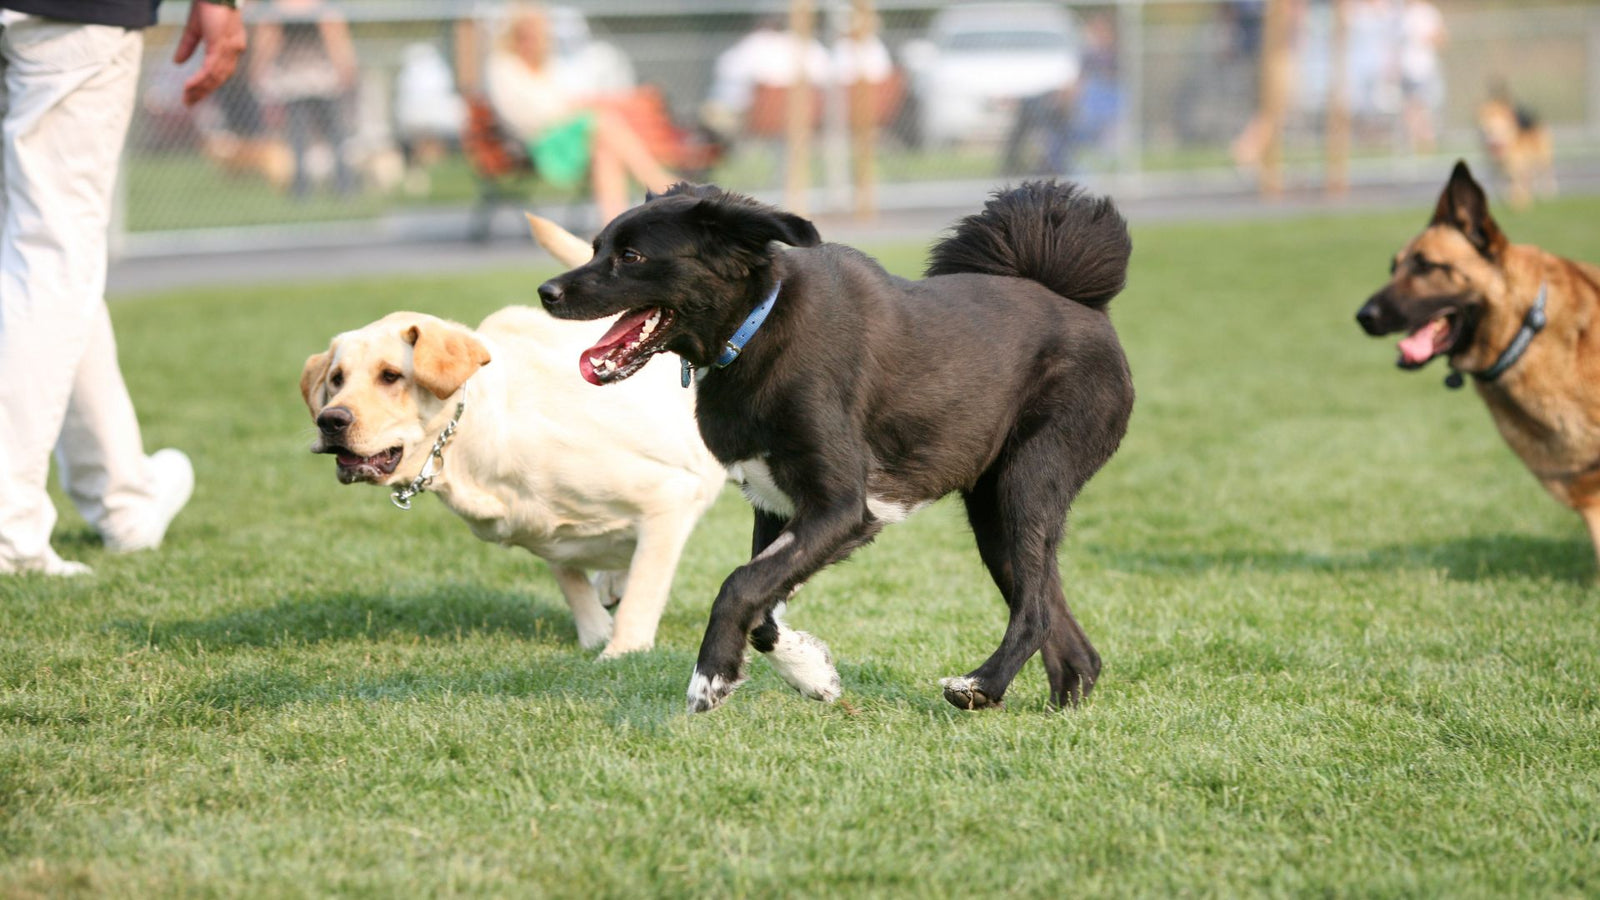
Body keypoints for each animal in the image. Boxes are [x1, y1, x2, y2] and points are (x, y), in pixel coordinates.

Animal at [540, 182, 1139, 711]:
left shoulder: (843, 507)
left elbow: (740, 585)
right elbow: (763, 609)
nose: (546, 292)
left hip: (1028, 482)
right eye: (596, 247)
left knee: (1035, 611)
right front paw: (811, 674)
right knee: (1068, 638)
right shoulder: (775, 505)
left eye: (632, 256)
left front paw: (711, 678)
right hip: (994, 515)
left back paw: (982, 686)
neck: (757, 327)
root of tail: (1085, 306)